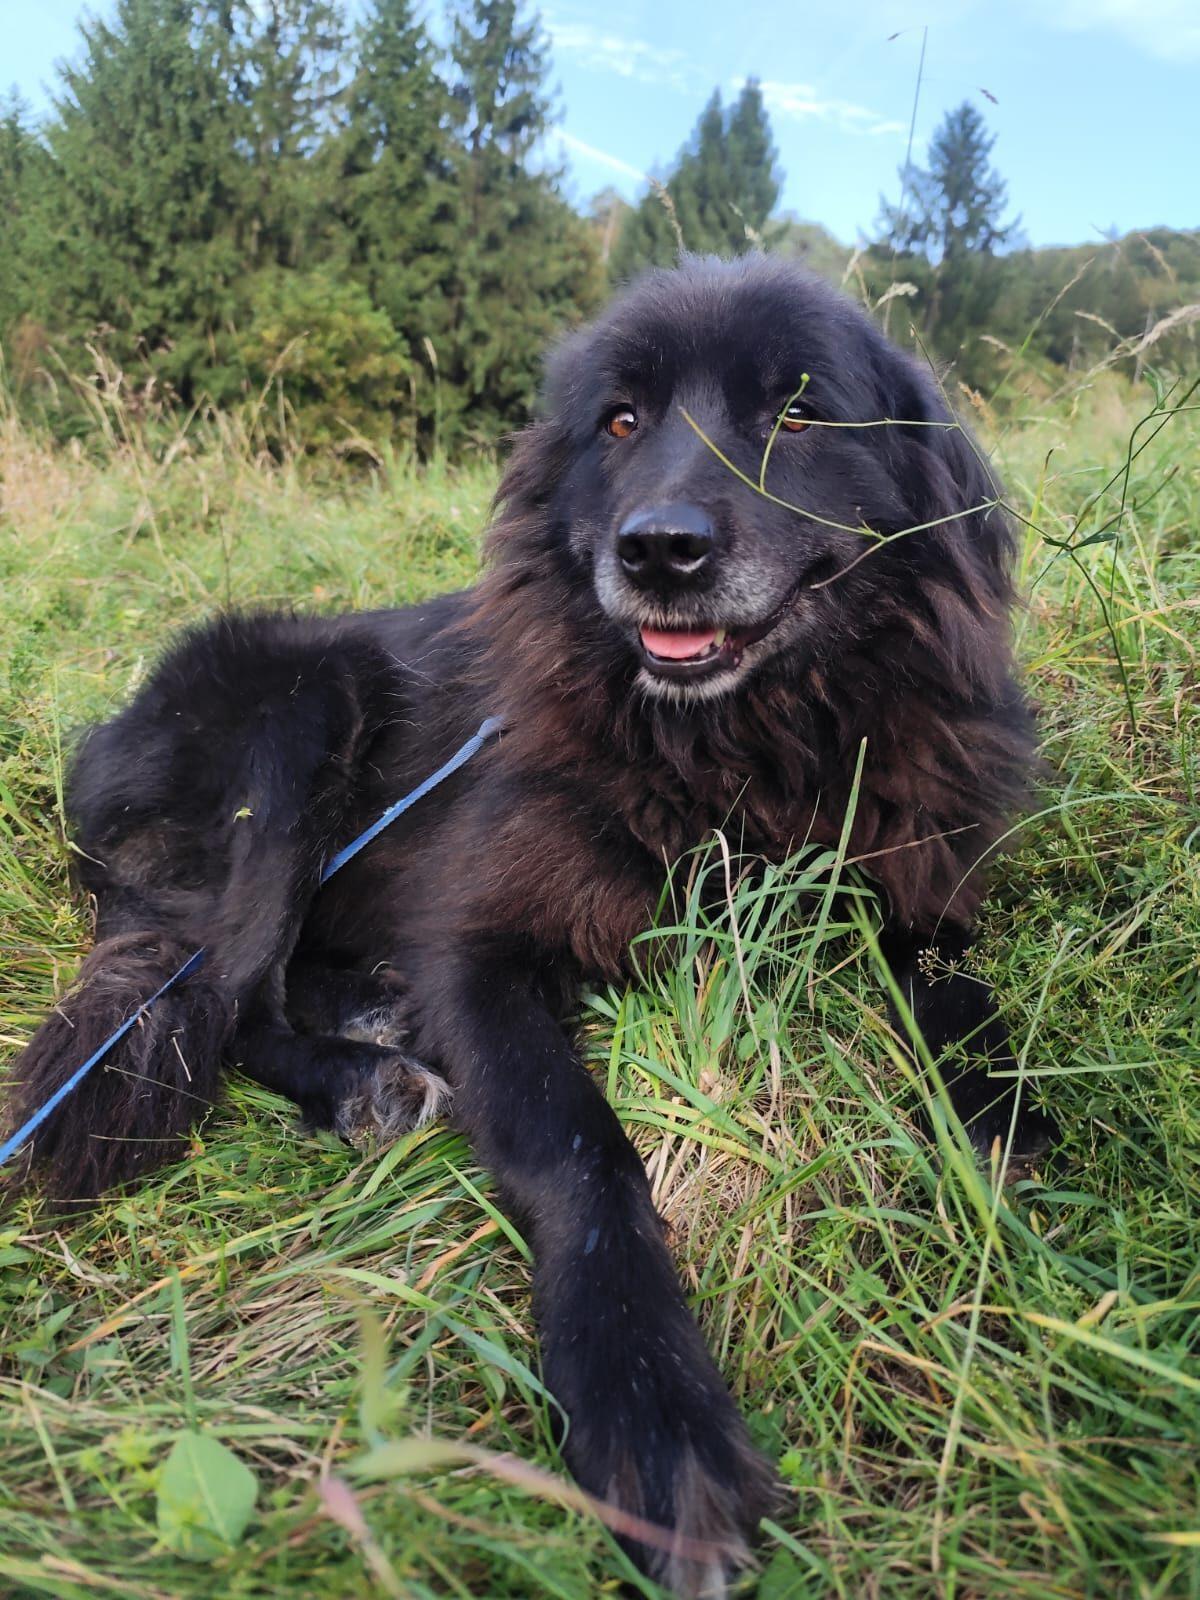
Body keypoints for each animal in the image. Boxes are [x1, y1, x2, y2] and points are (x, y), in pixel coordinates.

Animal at [5, 254, 1054, 1597]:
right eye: (619, 422)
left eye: (800, 414)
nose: (659, 550)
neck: (732, 748)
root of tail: (102, 744)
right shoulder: (478, 947)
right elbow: (579, 1149)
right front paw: (649, 1406)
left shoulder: (915, 886)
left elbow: (961, 1001)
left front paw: (1001, 1136)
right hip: (302, 716)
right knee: (223, 993)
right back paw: (363, 1075)